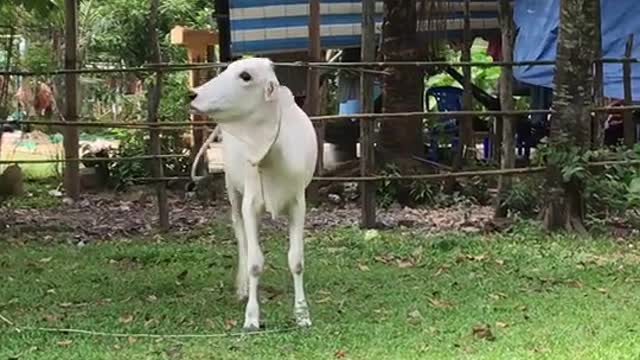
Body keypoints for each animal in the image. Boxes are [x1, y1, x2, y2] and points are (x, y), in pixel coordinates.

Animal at [190, 57, 320, 332]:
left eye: (246, 76)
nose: (193, 94)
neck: (275, 156)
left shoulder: (298, 203)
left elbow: (296, 260)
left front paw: (302, 314)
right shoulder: (251, 204)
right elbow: (254, 262)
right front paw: (251, 317)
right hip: (233, 190)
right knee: (242, 238)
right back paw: (242, 288)